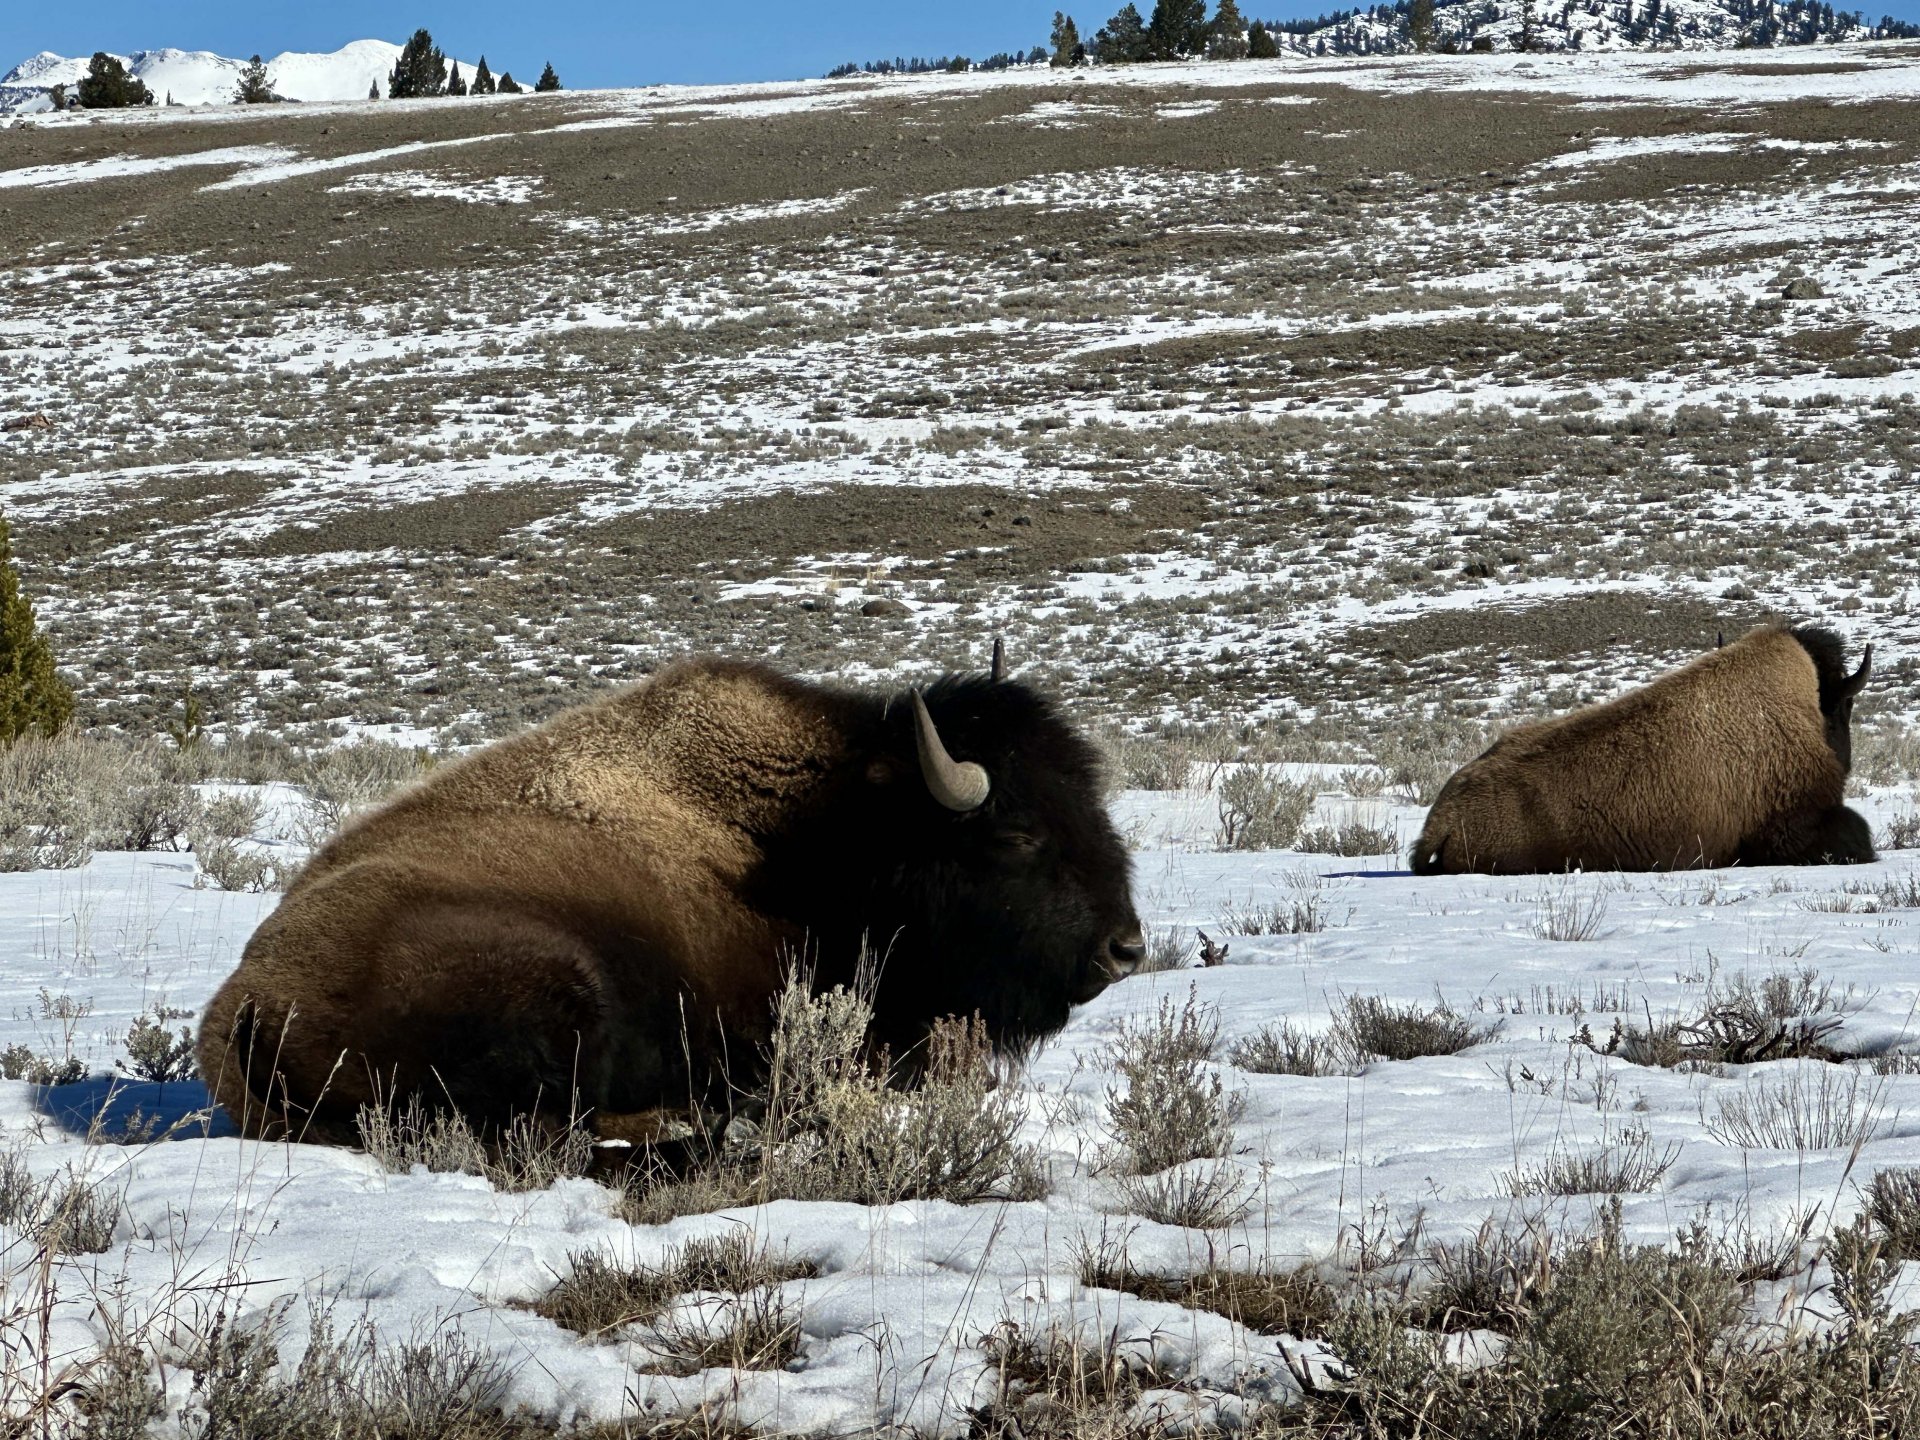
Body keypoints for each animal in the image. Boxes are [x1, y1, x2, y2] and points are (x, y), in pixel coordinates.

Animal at [198, 656, 1136, 1152]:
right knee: (560, 1130)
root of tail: (239, 1005)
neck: (829, 831)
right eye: (1014, 833)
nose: (1125, 949)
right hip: (558, 988)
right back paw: (707, 1120)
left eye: (1093, 802)